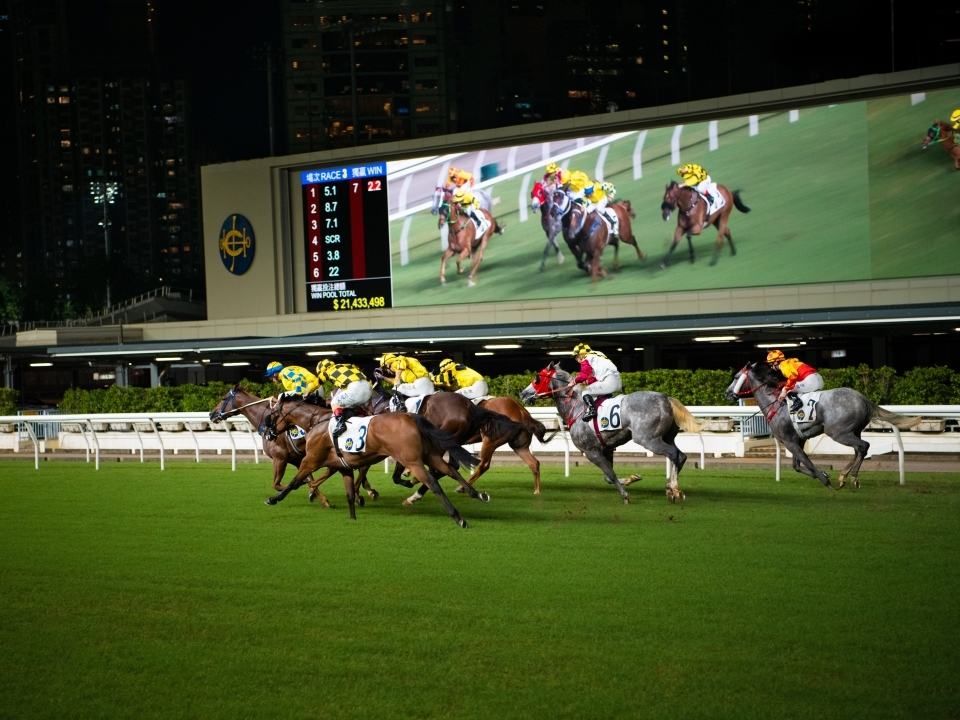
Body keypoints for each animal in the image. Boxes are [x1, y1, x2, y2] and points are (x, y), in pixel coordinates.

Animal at [212, 388, 380, 506]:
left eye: (223, 398)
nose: (212, 414)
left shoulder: (280, 458)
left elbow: (277, 484)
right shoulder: (298, 459)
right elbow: (307, 478)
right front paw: (321, 498)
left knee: (360, 467)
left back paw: (363, 493)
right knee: (359, 468)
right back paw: (364, 492)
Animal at [262, 394, 492, 528]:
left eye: (273, 413)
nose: (268, 432)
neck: (318, 421)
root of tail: (411, 416)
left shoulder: (311, 460)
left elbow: (294, 482)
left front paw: (273, 499)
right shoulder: (344, 467)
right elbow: (348, 493)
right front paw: (352, 516)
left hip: (413, 460)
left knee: (433, 483)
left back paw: (457, 517)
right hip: (430, 455)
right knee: (451, 471)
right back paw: (477, 494)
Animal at [520, 362, 700, 504]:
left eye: (537, 378)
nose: (523, 393)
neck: (576, 408)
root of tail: (666, 399)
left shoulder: (591, 451)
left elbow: (610, 475)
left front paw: (625, 495)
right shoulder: (607, 449)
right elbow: (608, 477)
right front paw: (633, 478)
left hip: (648, 439)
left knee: (674, 455)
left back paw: (673, 489)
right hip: (667, 437)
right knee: (681, 456)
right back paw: (671, 488)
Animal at [728, 360, 924, 490]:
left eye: (736, 377)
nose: (727, 393)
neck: (774, 402)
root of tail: (862, 398)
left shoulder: (789, 441)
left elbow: (807, 462)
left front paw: (825, 479)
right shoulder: (797, 440)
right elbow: (797, 466)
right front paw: (825, 474)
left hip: (837, 432)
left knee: (863, 446)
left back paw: (852, 477)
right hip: (853, 431)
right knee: (859, 449)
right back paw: (844, 476)